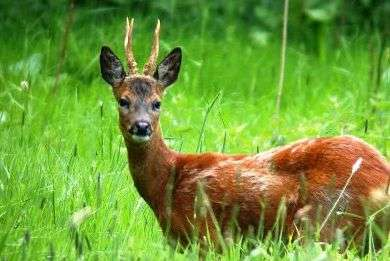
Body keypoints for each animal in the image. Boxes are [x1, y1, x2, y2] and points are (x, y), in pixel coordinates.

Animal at [99, 17, 388, 248]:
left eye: (157, 103)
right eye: (123, 100)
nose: (142, 126)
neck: (168, 182)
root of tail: (382, 178)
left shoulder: (206, 234)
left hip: (320, 223)